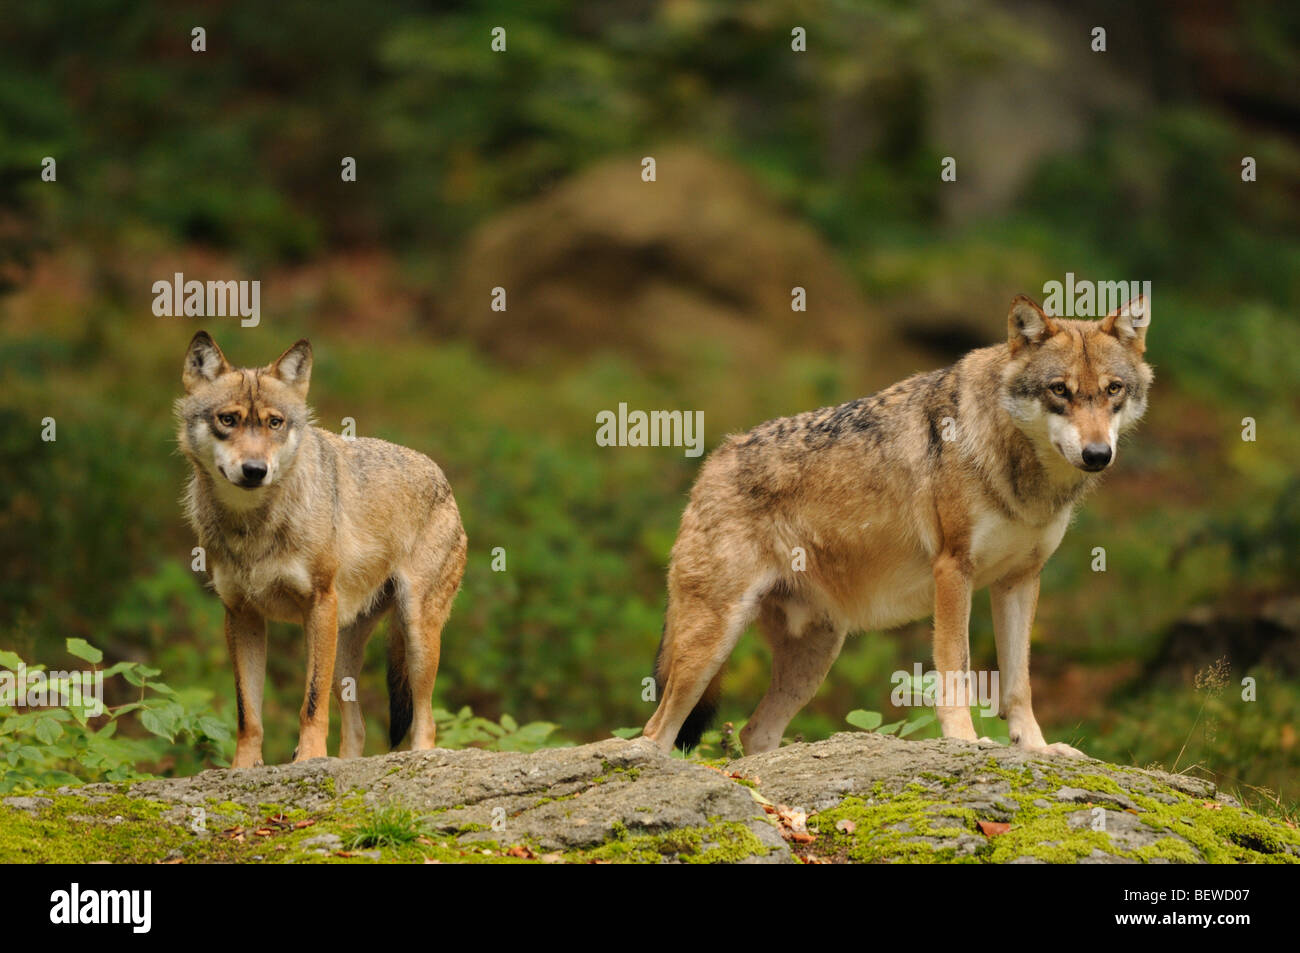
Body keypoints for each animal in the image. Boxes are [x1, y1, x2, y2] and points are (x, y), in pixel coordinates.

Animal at [178, 330, 467, 769]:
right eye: (227, 420)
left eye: (275, 422)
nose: (255, 471)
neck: (252, 526)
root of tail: (442, 477)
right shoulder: (241, 615)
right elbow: (248, 713)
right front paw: (243, 768)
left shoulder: (318, 604)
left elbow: (310, 704)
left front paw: (308, 760)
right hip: (344, 651)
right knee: (359, 727)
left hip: (413, 633)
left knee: (426, 720)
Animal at [644, 293, 1154, 754]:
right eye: (1059, 390)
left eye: (1113, 389)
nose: (1097, 454)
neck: (1022, 473)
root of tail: (711, 463)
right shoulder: (953, 571)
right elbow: (956, 667)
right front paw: (964, 739)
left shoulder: (1020, 580)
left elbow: (1018, 684)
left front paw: (1037, 748)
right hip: (712, 643)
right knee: (655, 732)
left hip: (815, 654)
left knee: (755, 733)